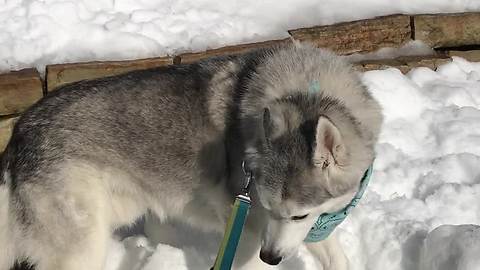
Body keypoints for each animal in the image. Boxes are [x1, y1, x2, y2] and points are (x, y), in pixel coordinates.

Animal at [0, 44, 382, 270]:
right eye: (267, 206)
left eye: (299, 215)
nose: (271, 257)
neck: (307, 91)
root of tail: (20, 132)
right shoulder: (249, 232)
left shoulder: (305, 230)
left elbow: (337, 259)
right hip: (83, 249)